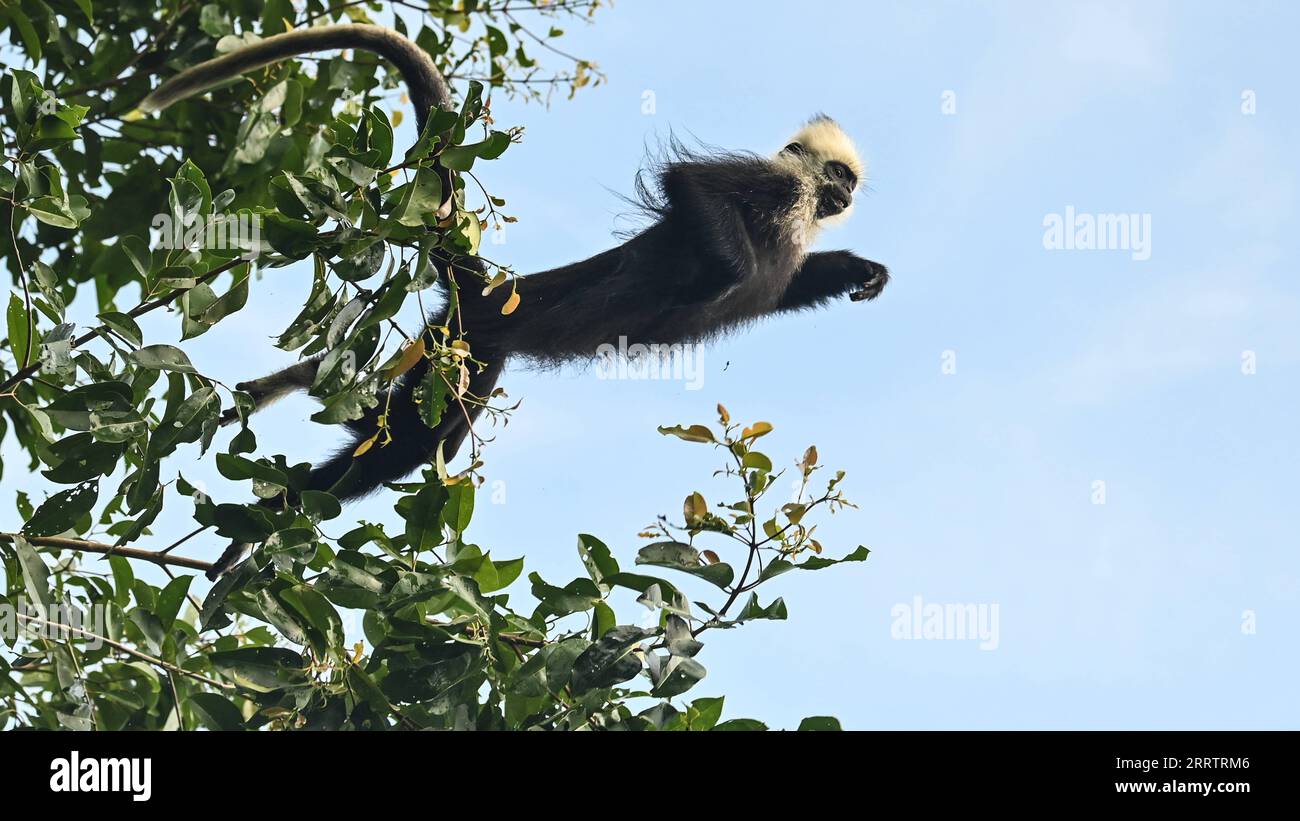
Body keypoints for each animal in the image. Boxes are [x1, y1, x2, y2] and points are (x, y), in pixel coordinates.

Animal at [144, 25, 894, 576]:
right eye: (836, 175)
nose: (843, 195)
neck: (801, 215)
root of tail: (493, 292)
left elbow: (790, 285)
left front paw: (862, 268)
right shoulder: (776, 187)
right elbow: (691, 189)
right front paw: (720, 276)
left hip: (459, 357)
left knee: (404, 438)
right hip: (465, 350)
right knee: (401, 448)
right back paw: (254, 530)